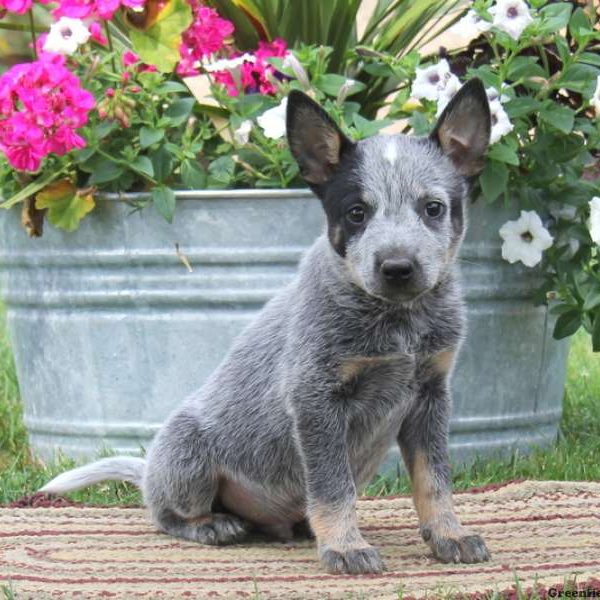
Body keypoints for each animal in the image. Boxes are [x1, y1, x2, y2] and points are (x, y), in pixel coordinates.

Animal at [41, 77, 492, 576]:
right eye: (356, 212)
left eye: (433, 208)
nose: (397, 267)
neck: (399, 325)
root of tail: (148, 471)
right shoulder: (314, 398)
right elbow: (333, 486)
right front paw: (344, 546)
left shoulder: (430, 394)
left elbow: (434, 479)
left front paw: (449, 535)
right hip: (187, 456)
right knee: (164, 514)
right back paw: (212, 525)